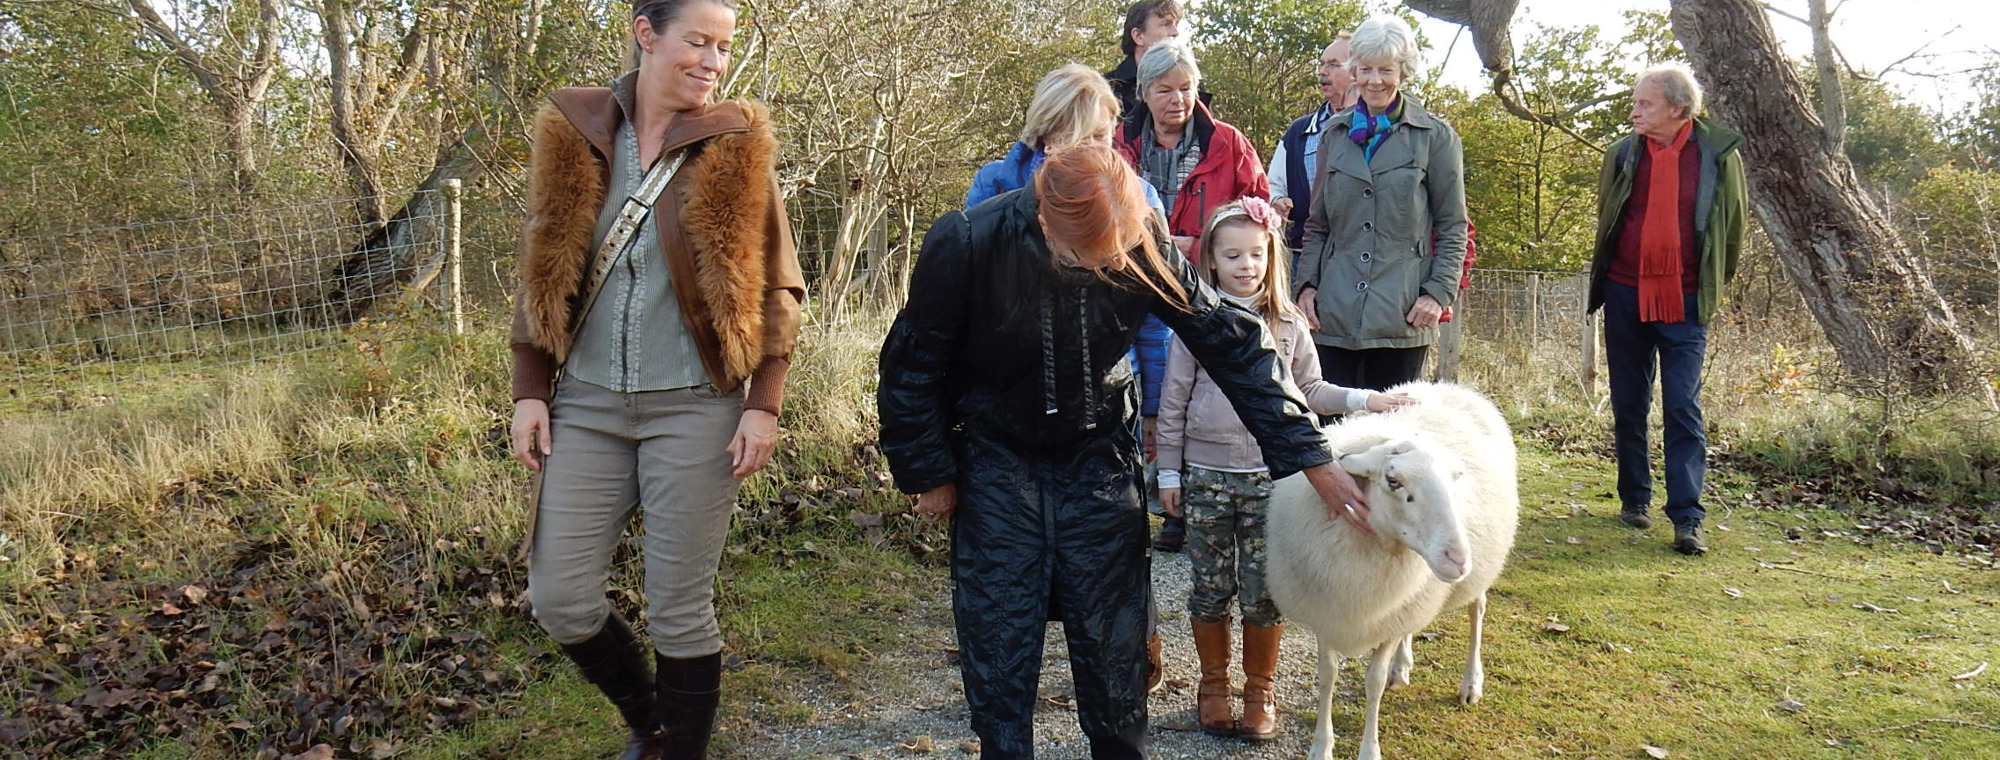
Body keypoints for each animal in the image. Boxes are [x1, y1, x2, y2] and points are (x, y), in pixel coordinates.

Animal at [1272, 380, 1520, 760]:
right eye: (1393, 481)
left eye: (1456, 478)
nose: (1458, 558)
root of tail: (1445, 385)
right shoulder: (1328, 611)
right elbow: (1327, 676)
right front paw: (1321, 747)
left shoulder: (1386, 619)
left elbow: (1373, 682)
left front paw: (1369, 750)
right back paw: (1402, 666)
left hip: (1481, 570)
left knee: (1477, 610)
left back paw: (1470, 682)